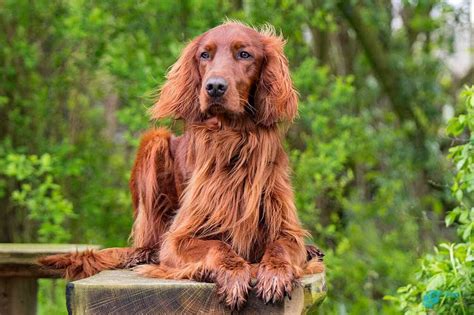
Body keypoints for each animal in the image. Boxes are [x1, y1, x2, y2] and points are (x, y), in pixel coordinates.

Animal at [40, 22, 324, 312]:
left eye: (244, 54)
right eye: (204, 55)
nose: (214, 87)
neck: (233, 138)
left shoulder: (284, 227)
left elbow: (281, 247)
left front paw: (275, 273)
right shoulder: (178, 238)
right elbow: (216, 247)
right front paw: (234, 274)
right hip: (154, 142)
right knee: (150, 241)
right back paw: (142, 255)